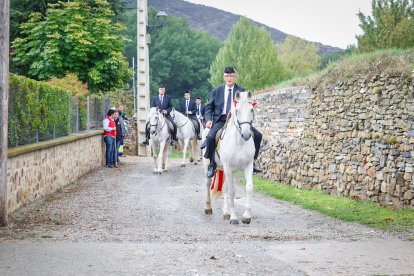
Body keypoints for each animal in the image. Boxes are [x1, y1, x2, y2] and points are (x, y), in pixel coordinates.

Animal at [201, 90, 256, 224]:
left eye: (251, 109)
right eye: (237, 111)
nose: (246, 135)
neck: (239, 142)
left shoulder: (248, 166)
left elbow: (249, 187)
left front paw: (246, 216)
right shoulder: (228, 167)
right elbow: (232, 191)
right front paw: (234, 217)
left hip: (225, 170)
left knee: (225, 188)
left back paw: (226, 212)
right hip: (208, 166)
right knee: (208, 183)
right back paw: (208, 208)